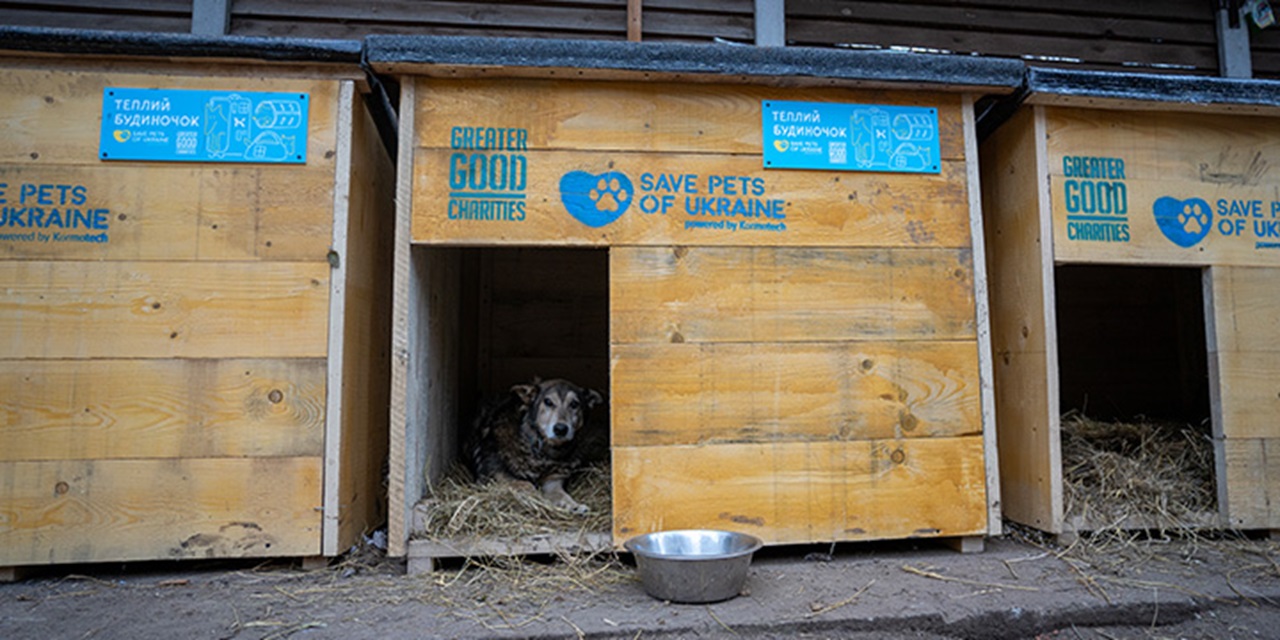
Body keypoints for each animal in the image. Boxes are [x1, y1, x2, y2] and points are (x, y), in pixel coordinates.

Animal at [471, 376, 604, 512]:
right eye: (548, 402)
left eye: (574, 404)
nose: (561, 429)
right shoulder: (495, 475)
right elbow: (525, 484)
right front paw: (536, 497)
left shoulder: (553, 482)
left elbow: (563, 495)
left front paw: (575, 506)